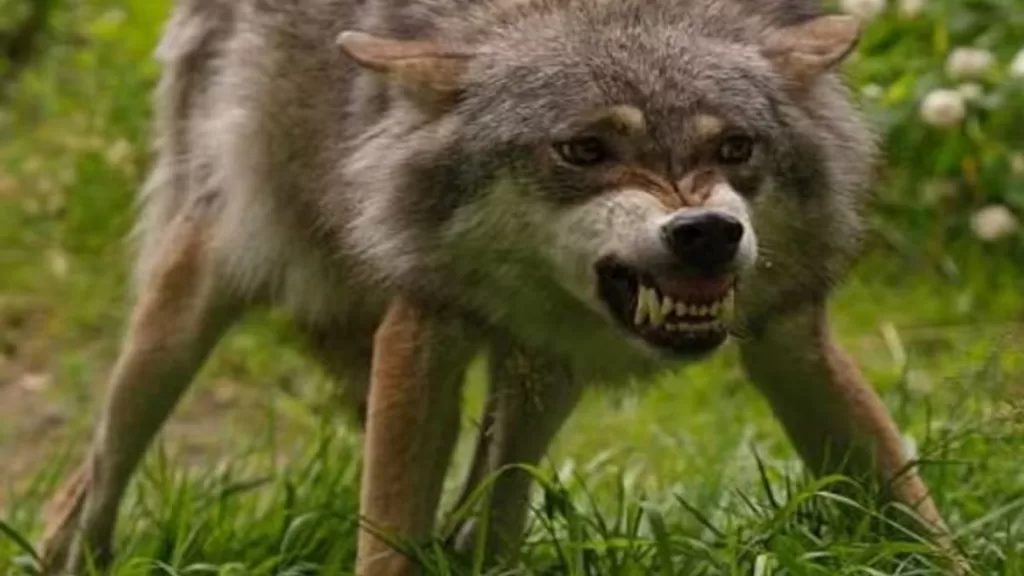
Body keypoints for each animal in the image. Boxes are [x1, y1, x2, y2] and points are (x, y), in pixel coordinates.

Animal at [38, 0, 957, 573]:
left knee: (493, 508)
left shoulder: (788, 337)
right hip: (191, 301)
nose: (705, 232)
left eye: (735, 148)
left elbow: (909, 502)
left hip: (540, 375)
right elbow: (388, 538)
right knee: (90, 478)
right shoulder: (424, 323)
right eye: (584, 150)